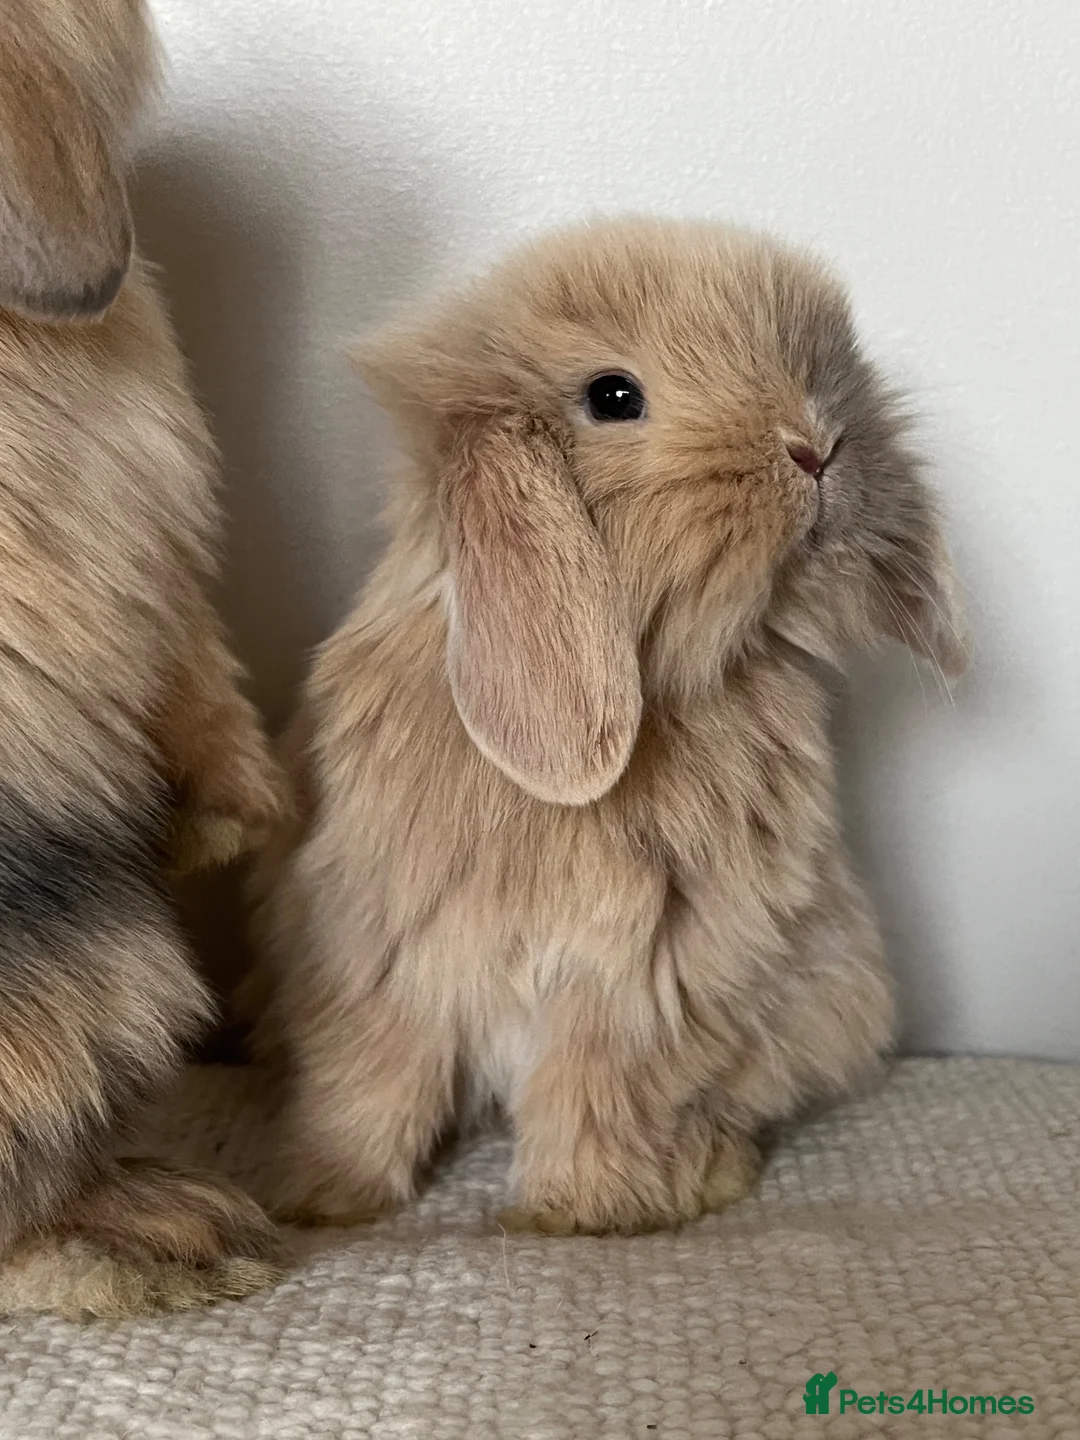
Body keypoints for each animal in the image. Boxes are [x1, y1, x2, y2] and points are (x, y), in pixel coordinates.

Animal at [248, 216, 967, 1237]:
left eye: (826, 371)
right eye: (613, 396)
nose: (817, 446)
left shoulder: (645, 988)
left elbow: (596, 1096)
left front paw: (577, 1214)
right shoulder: (377, 967)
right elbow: (367, 1087)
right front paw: (320, 1200)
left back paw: (708, 1168)